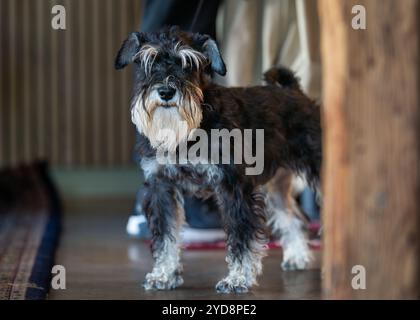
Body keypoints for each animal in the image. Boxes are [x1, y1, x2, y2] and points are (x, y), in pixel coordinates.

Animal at [115, 26, 322, 294]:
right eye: (149, 62)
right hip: (276, 185)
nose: (166, 91)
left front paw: (238, 279)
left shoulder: (233, 186)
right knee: (293, 218)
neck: (186, 134)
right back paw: (297, 256)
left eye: (188, 64)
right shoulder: (161, 187)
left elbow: (241, 236)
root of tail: (294, 91)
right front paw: (163, 274)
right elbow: (165, 235)